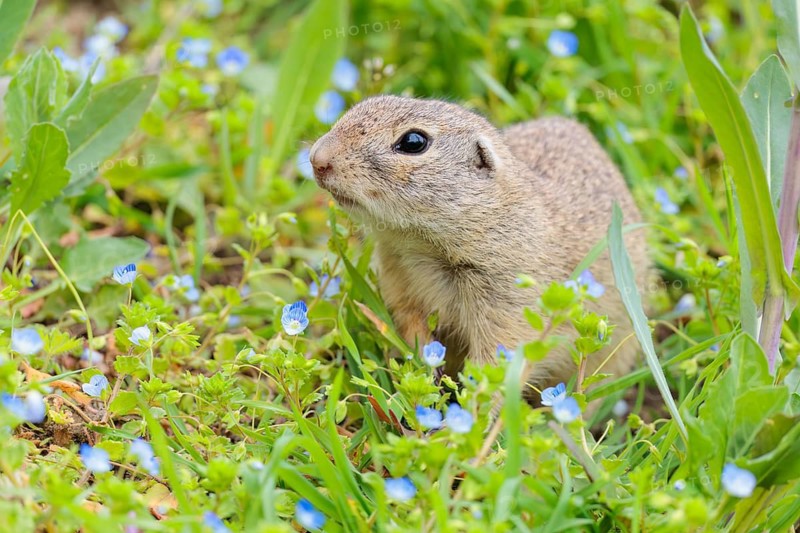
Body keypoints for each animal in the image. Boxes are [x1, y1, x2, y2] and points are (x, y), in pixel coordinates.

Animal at [310, 95, 649, 400]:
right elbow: (408, 320)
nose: (317, 159)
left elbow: (497, 363)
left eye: (414, 142)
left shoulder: (511, 303)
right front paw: (425, 366)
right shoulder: (398, 278)